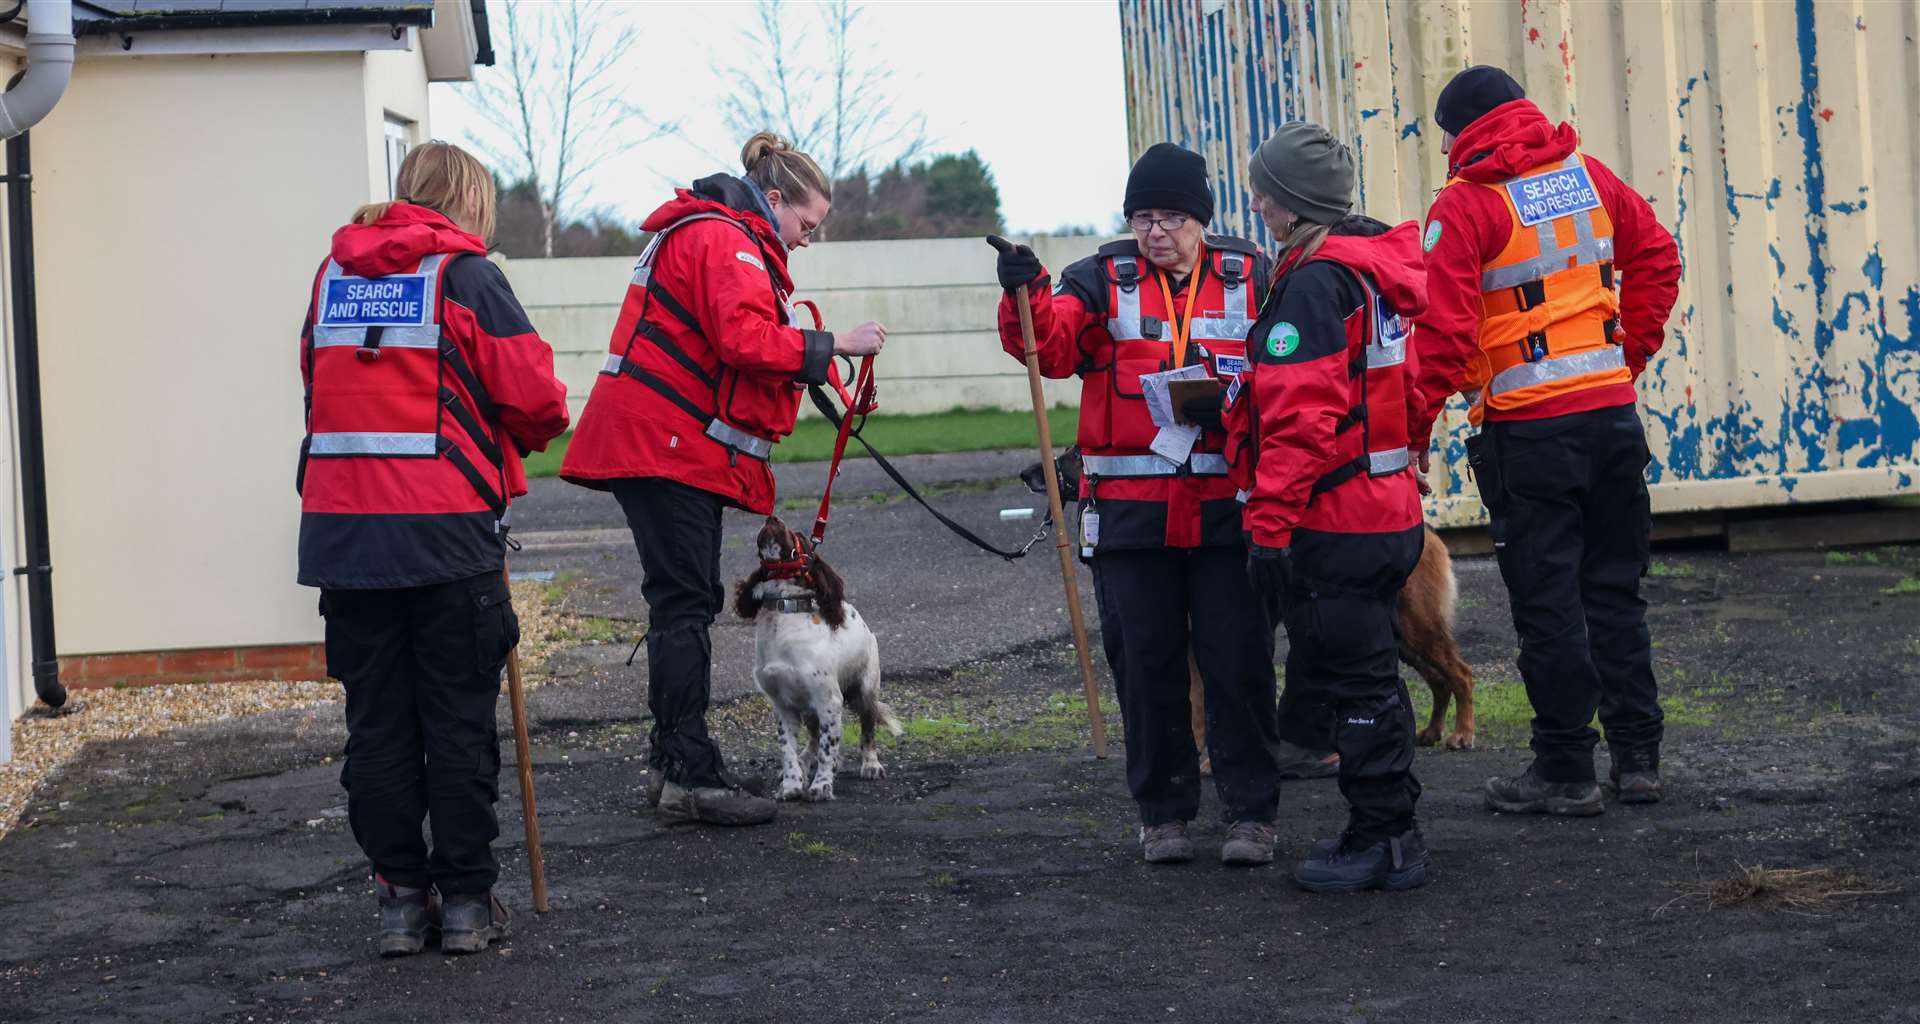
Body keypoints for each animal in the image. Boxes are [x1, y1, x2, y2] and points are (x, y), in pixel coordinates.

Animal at [733, 514, 898, 803]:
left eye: (798, 535)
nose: (771, 517)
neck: (784, 618)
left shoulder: (829, 699)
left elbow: (828, 747)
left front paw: (821, 785)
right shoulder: (782, 705)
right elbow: (787, 749)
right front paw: (791, 785)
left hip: (866, 691)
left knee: (866, 730)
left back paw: (870, 764)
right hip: (809, 708)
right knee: (812, 738)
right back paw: (804, 761)